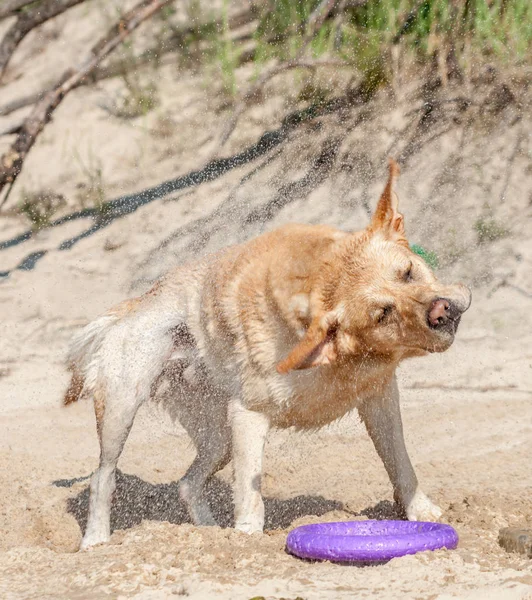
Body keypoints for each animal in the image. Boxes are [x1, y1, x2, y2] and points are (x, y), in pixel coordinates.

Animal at [64, 159, 472, 548]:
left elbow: (400, 463)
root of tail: (138, 301)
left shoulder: (379, 397)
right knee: (103, 477)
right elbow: (250, 493)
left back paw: (209, 532)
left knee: (187, 483)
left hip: (216, 435)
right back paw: (96, 540)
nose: (443, 311)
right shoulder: (248, 414)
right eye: (382, 313)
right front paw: (247, 537)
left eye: (408, 272)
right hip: (123, 406)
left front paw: (424, 511)